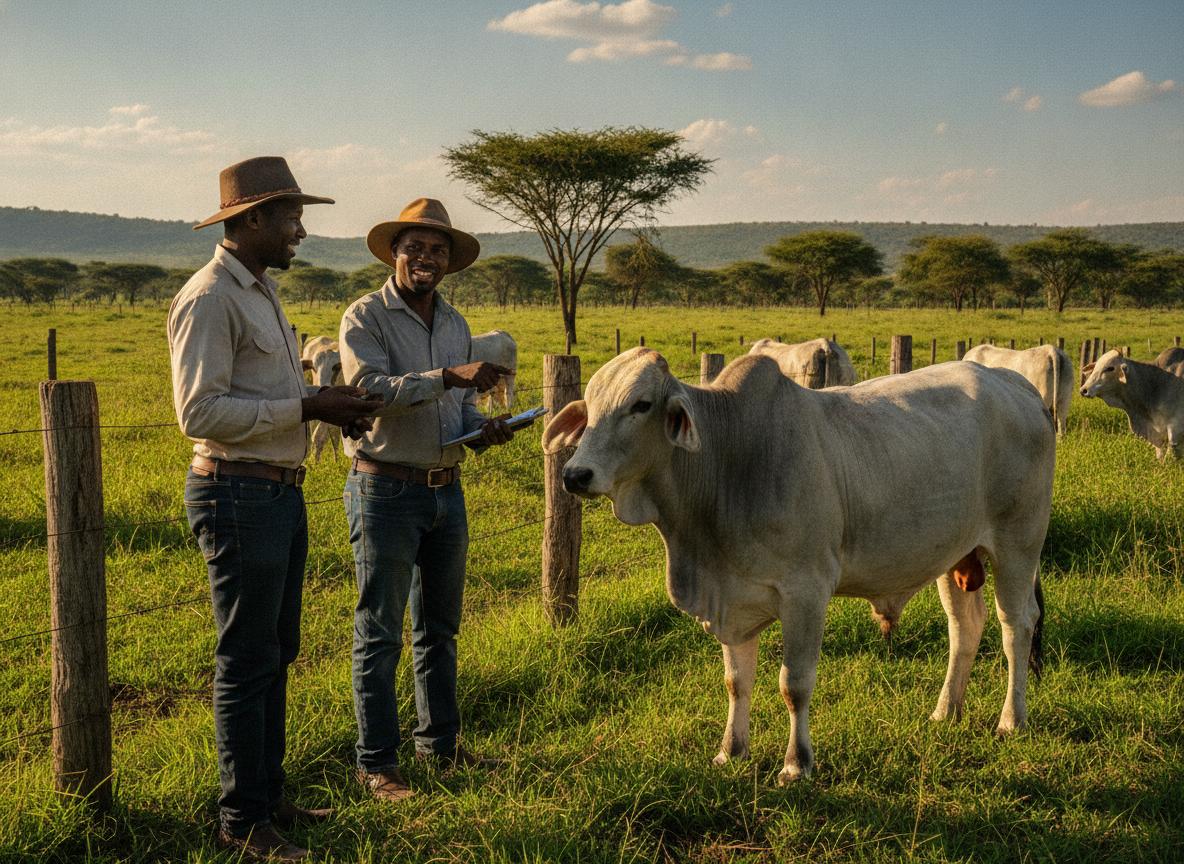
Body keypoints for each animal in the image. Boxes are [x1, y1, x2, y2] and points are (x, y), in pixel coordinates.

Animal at [543, 347, 1054, 784]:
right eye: (590, 405)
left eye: (641, 405)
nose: (575, 474)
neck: (729, 462)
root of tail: (1017, 385)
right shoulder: (732, 600)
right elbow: (736, 682)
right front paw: (730, 751)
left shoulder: (806, 593)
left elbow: (795, 684)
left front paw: (796, 764)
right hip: (954, 554)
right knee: (965, 627)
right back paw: (945, 711)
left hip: (1018, 543)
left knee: (1016, 626)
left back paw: (1012, 719)